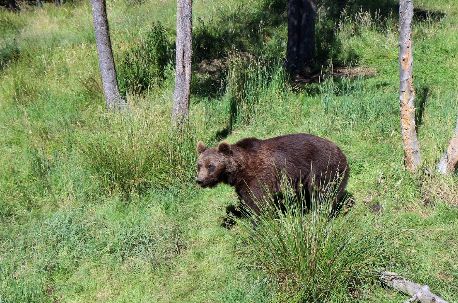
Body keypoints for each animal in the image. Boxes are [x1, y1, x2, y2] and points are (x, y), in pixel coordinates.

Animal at [195, 134, 348, 217]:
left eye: (211, 166)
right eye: (199, 165)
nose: (200, 180)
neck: (241, 170)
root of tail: (341, 151)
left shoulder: (259, 177)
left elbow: (258, 202)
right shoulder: (242, 184)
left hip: (322, 168)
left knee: (324, 193)